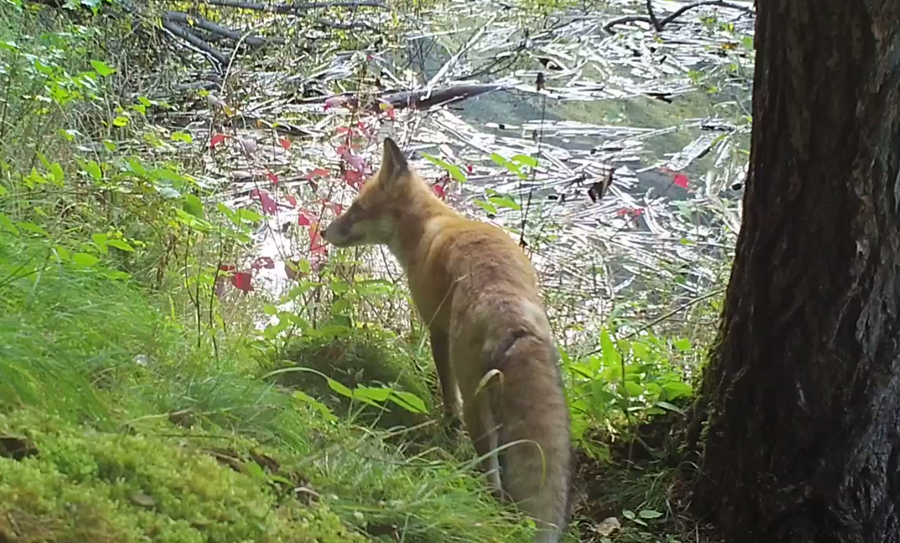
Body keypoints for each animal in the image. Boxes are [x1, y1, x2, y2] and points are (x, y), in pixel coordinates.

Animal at [324, 138, 572, 540]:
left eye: (357, 207)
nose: (324, 232)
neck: (430, 225)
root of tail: (511, 315)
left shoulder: (435, 329)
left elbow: (445, 392)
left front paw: (445, 423)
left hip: (477, 404)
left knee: (491, 468)